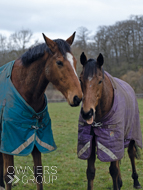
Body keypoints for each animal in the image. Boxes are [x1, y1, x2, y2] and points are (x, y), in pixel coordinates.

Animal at [0, 33, 82, 190]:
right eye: (59, 62)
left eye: (74, 61)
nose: (78, 97)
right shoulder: (8, 142)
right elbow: (8, 176)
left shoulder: (36, 137)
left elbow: (38, 173)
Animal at [77, 51, 142, 189]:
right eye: (80, 79)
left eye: (100, 81)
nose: (87, 113)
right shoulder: (90, 141)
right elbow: (90, 172)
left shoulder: (112, 139)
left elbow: (113, 170)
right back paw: (120, 181)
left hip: (131, 134)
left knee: (131, 153)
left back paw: (136, 181)